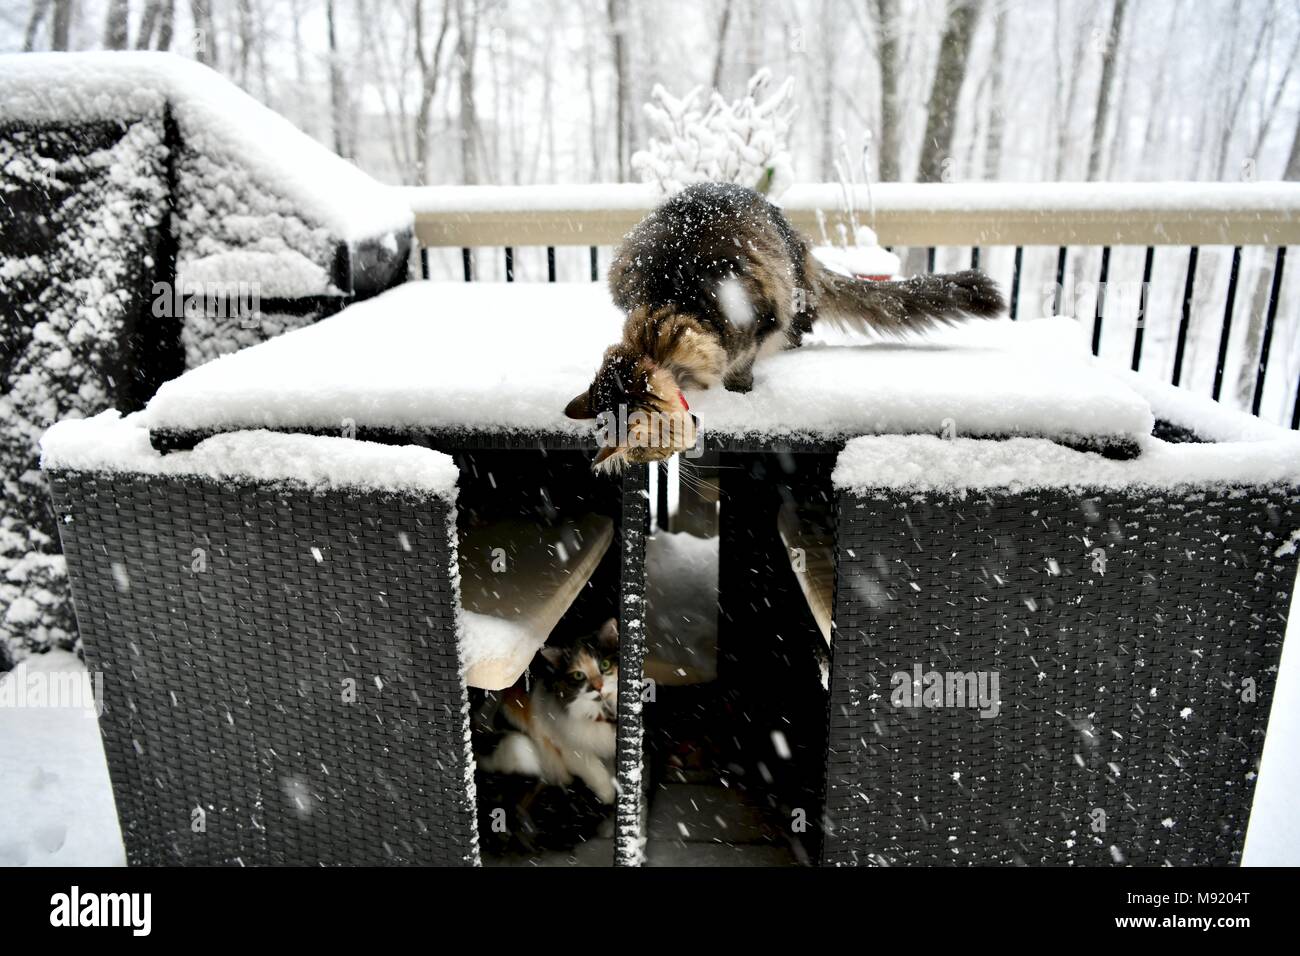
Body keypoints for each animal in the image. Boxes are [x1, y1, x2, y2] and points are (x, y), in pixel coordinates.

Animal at [478, 616, 618, 806]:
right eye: (578, 675)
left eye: (605, 664)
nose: (599, 687)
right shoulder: (569, 747)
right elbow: (595, 770)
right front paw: (609, 794)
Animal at [561, 180, 1003, 468]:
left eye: (646, 451)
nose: (659, 463)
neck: (672, 308)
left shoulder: (756, 320)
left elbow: (742, 365)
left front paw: (739, 388)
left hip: (793, 299)